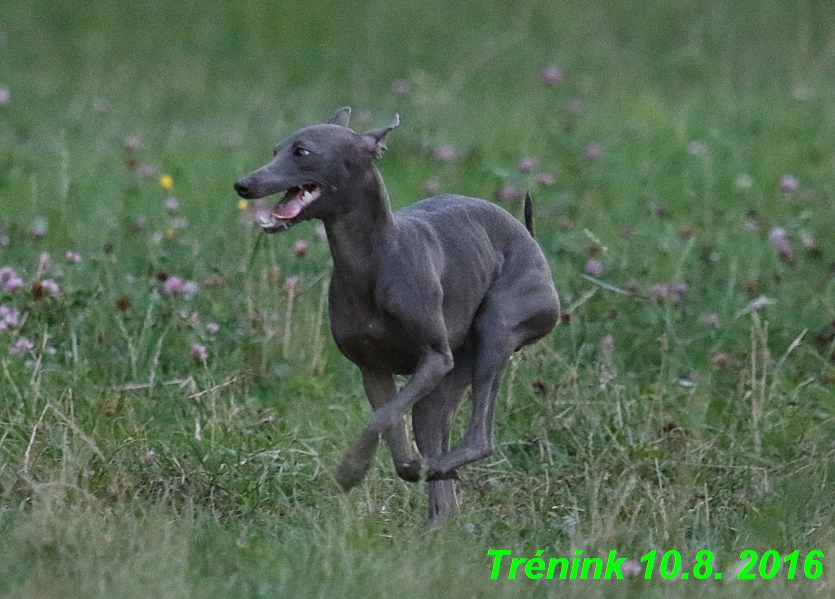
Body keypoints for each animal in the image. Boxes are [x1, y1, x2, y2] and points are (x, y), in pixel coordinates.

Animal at [235, 109, 560, 524]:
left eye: (302, 151)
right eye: (275, 150)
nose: (243, 184)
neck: (374, 260)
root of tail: (529, 236)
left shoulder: (434, 358)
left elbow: (383, 418)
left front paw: (351, 470)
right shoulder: (372, 368)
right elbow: (390, 426)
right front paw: (402, 467)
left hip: (497, 330)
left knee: (480, 438)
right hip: (450, 378)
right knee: (434, 442)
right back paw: (435, 504)